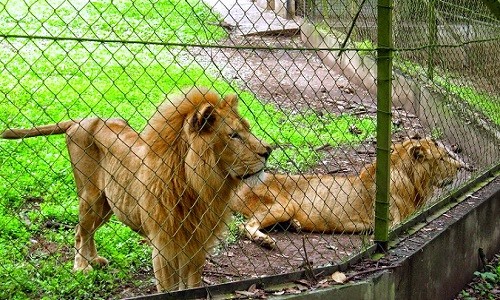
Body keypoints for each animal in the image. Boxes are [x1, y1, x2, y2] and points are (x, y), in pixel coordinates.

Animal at [1, 86, 272, 290]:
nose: (268, 151)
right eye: (233, 135)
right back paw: (82, 267)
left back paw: (94, 260)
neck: (200, 186)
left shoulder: (196, 246)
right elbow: (171, 291)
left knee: (88, 231)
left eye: (247, 129)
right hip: (90, 197)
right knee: (80, 231)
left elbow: (192, 287)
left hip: (108, 204)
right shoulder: (163, 247)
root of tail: (82, 120)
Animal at [232, 138, 466, 248]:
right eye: (443, 157)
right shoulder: (393, 223)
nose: (462, 167)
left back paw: (295, 225)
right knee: (245, 226)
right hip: (284, 205)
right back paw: (265, 241)